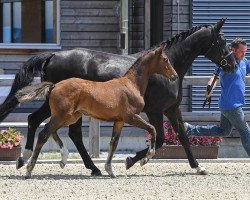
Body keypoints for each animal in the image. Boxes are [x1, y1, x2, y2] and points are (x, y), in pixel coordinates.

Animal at [16, 45, 178, 178]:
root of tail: (54, 86)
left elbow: (113, 143)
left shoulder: (119, 120)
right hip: (62, 115)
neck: (132, 84)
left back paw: (63, 159)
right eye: (165, 59)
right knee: (44, 133)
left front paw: (110, 170)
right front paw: (145, 158)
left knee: (50, 130)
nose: (175, 76)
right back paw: (29, 169)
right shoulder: (131, 117)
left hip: (70, 116)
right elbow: (152, 129)